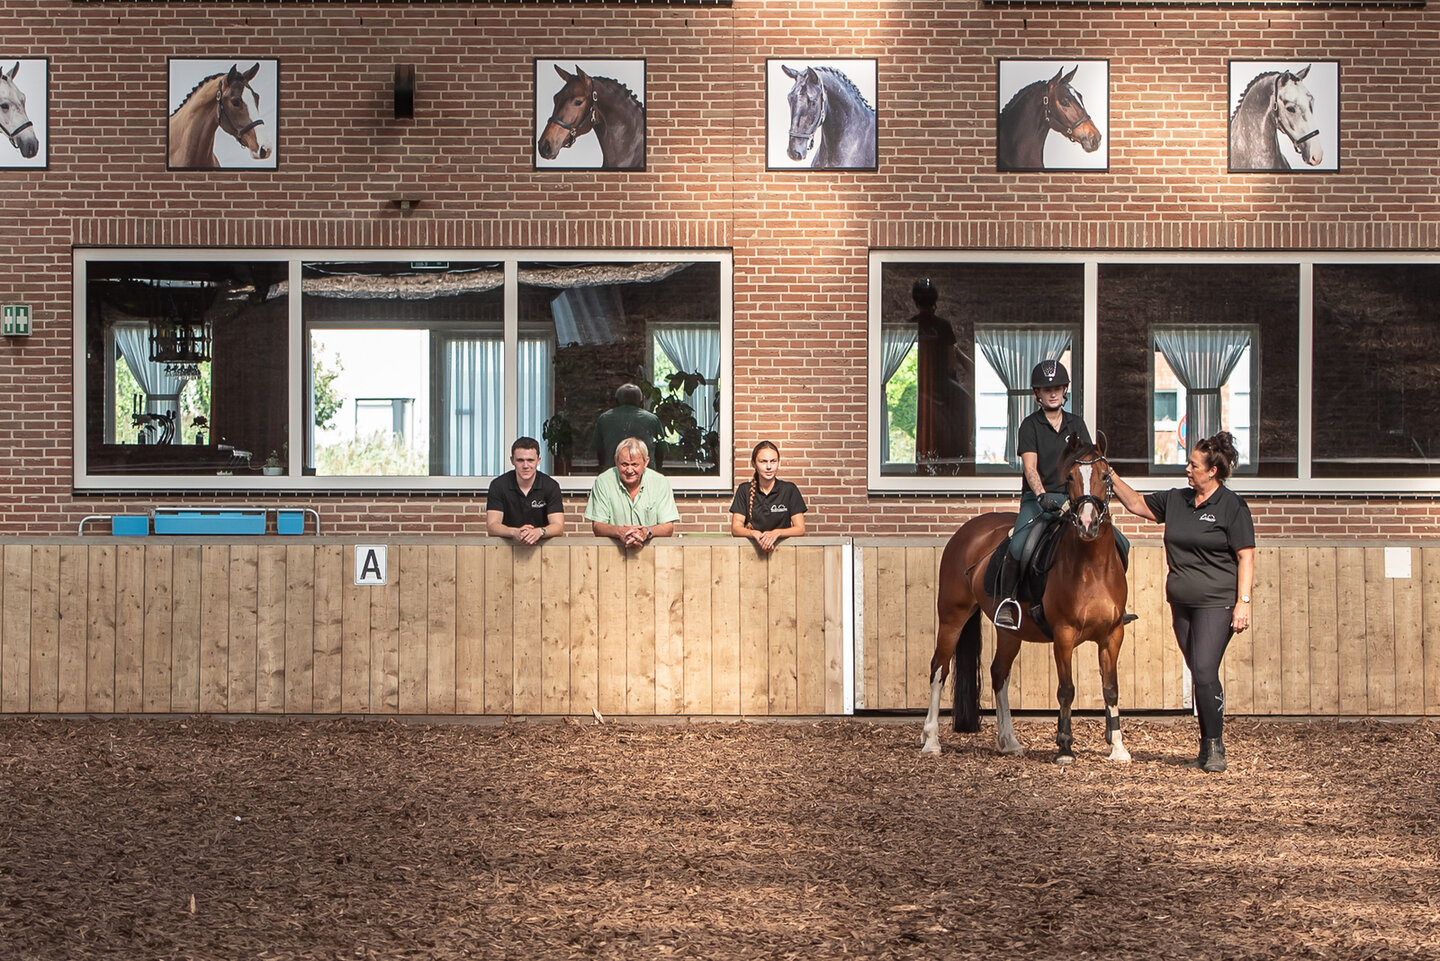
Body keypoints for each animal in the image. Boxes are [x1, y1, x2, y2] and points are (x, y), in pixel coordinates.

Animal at [921, 437, 1134, 766]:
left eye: (1106, 476)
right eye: (1070, 478)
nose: (1087, 524)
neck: (1092, 565)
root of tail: (967, 531)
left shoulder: (1113, 634)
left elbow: (1111, 689)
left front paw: (1118, 749)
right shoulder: (1064, 634)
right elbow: (1066, 690)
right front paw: (1064, 748)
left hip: (1010, 632)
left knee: (999, 673)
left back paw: (1008, 741)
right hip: (952, 617)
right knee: (939, 668)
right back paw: (931, 740)